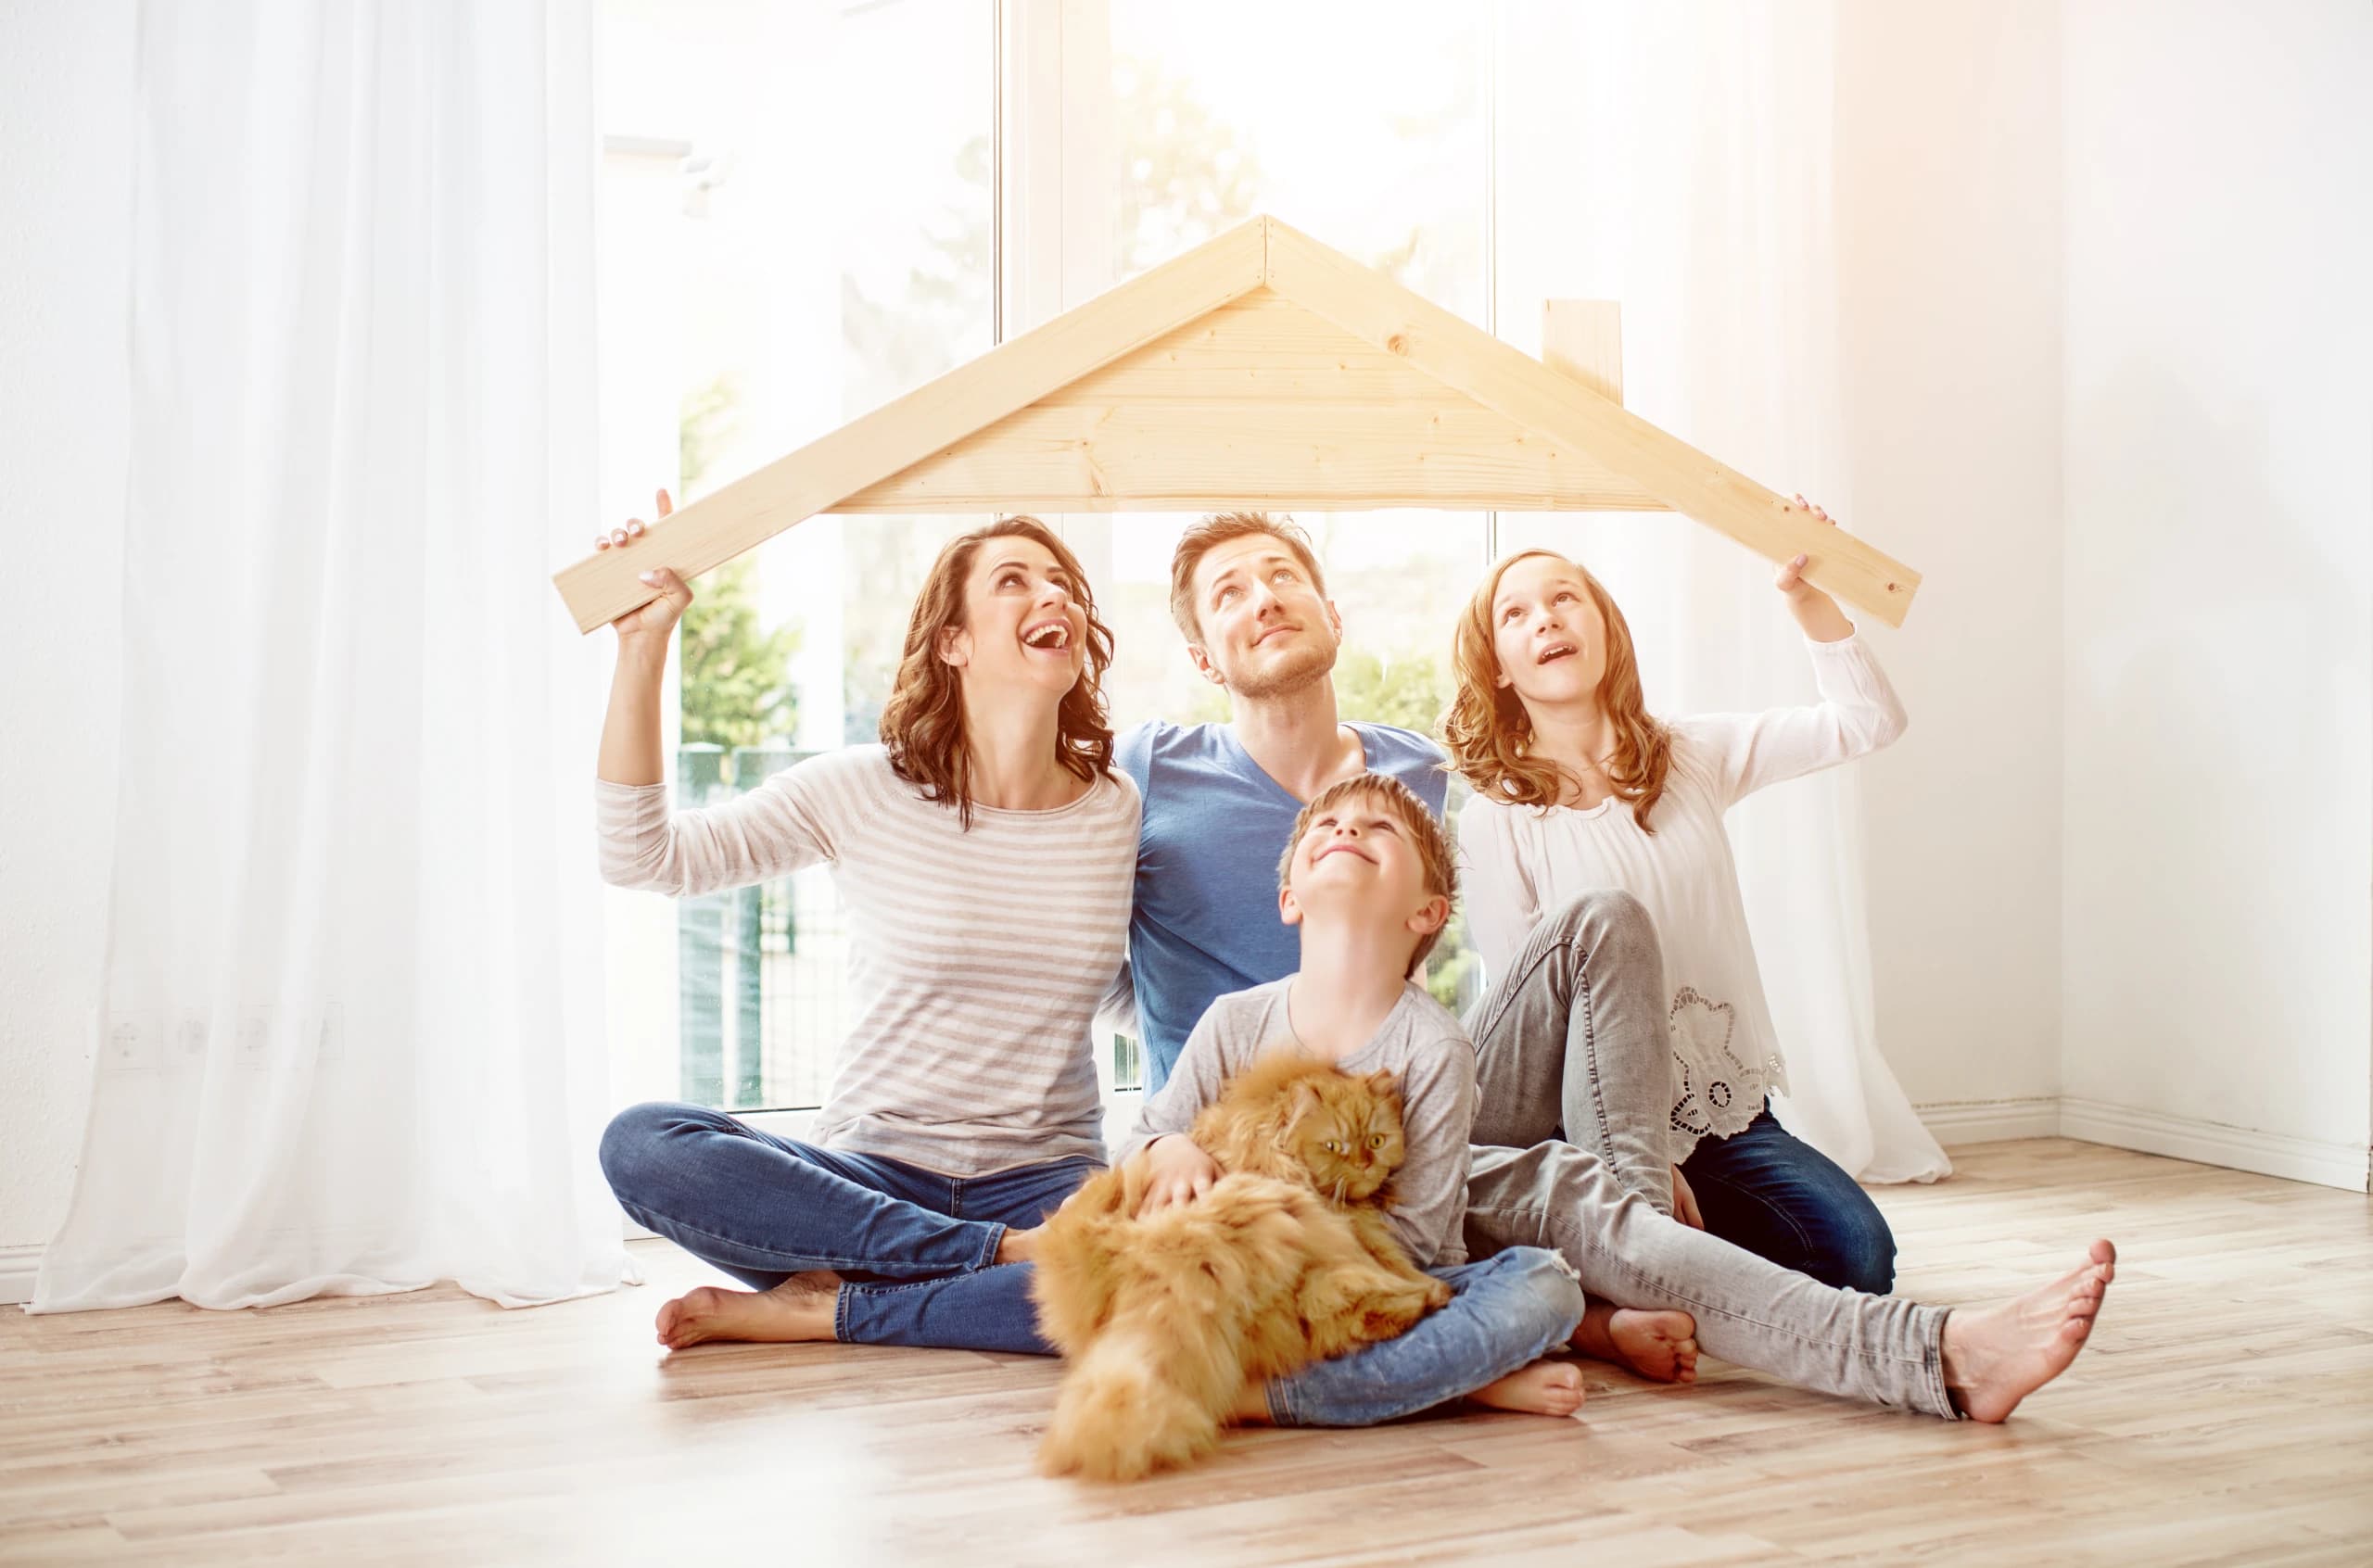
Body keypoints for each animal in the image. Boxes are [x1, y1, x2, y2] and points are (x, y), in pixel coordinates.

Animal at [1024, 1053, 1442, 1480]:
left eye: (1376, 1141)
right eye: (1333, 1146)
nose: (1363, 1165)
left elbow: (1393, 1259)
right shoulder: (1353, 1225)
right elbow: (1387, 1258)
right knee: (1340, 1312)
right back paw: (1428, 1298)